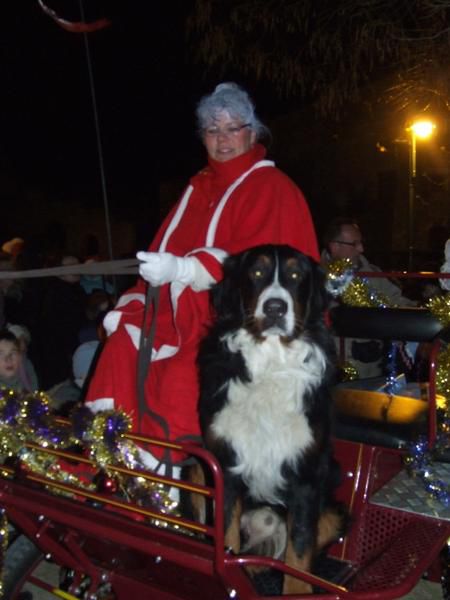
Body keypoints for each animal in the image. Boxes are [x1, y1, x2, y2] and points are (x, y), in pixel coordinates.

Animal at [191, 244, 344, 596]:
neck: (272, 364)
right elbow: (226, 537)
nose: (275, 307)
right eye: (257, 272)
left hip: (333, 510)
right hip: (196, 468)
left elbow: (299, 551)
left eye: (296, 274)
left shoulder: (306, 475)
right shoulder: (224, 464)